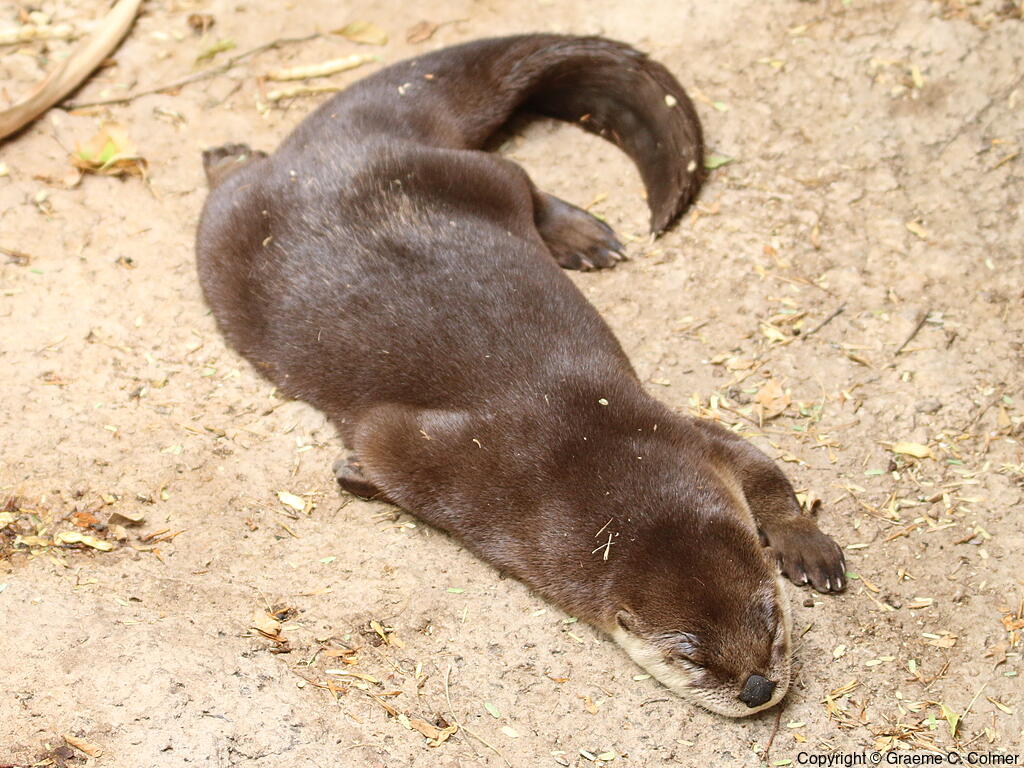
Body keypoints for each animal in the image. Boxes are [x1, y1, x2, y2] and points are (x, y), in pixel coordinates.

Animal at [196, 34, 846, 717]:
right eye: (689, 655)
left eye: (771, 619)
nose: (757, 687)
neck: (594, 456)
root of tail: (340, 148)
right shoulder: (464, 469)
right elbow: (380, 444)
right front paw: (355, 472)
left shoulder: (681, 434)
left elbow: (762, 469)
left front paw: (805, 543)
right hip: (235, 228)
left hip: (461, 176)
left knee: (518, 179)